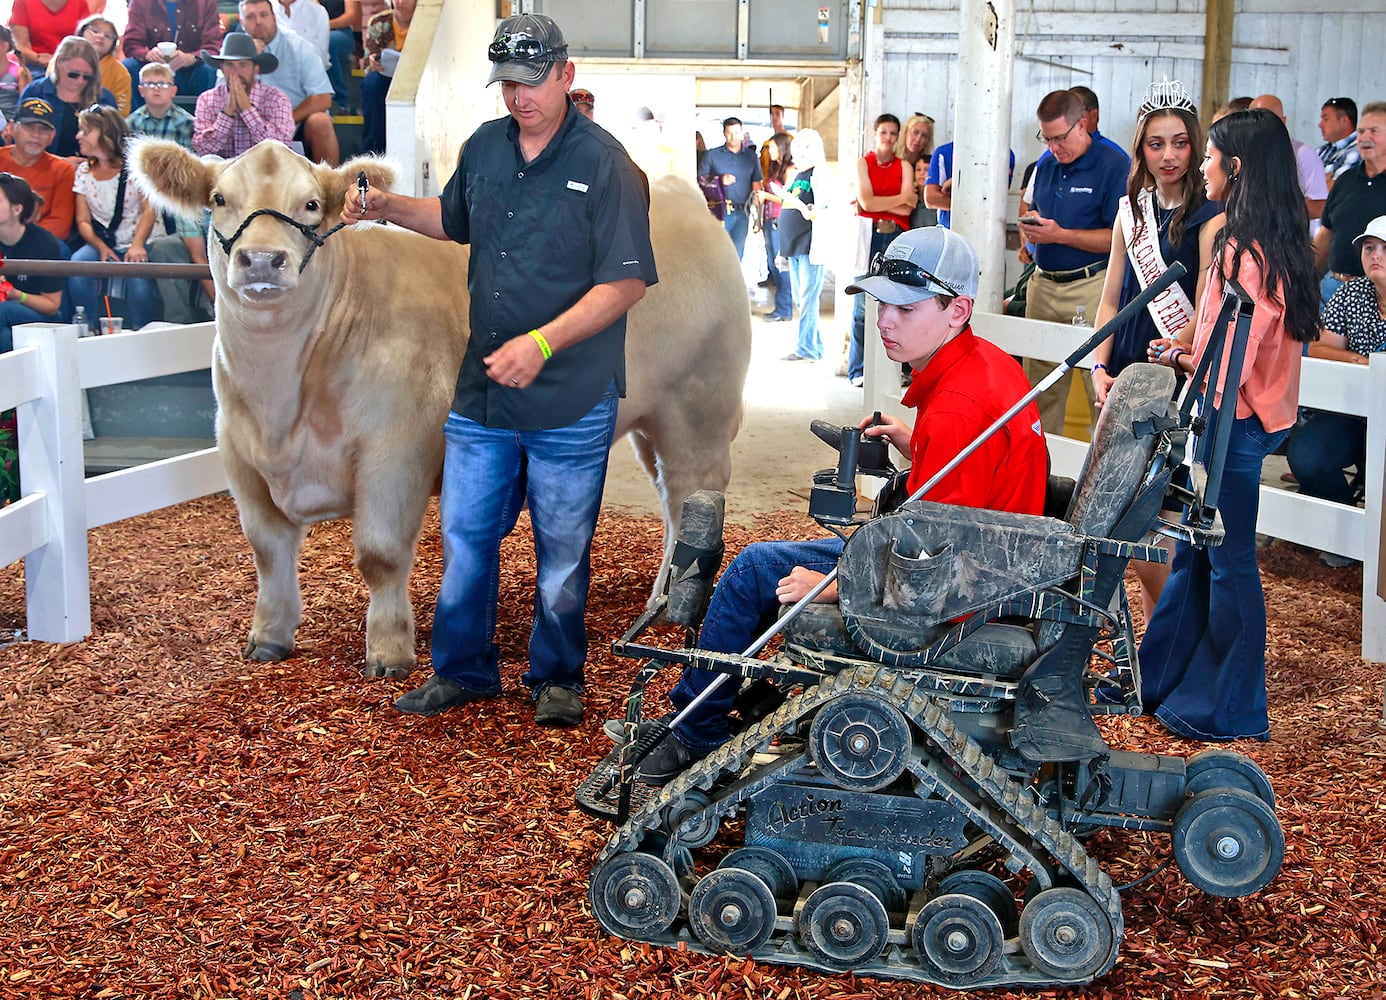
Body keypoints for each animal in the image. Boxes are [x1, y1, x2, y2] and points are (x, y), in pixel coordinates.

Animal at [130, 138, 753, 678]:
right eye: (218, 199)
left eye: (309, 203)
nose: (262, 260)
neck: (281, 403)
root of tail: (680, 193)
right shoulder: (239, 457)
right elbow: (266, 551)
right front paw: (268, 638)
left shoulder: (395, 451)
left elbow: (379, 554)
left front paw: (388, 652)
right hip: (649, 422)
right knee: (671, 501)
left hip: (700, 409)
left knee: (693, 497)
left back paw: (671, 605)